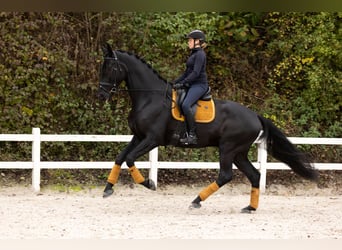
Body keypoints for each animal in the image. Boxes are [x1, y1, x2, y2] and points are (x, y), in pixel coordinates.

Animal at [98, 43, 318, 213]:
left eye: (110, 68)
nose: (102, 95)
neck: (149, 97)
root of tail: (255, 116)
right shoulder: (138, 136)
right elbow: (120, 157)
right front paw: (108, 189)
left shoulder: (152, 139)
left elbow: (129, 158)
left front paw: (149, 184)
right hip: (239, 153)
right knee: (255, 175)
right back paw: (250, 207)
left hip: (228, 148)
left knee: (226, 175)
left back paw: (196, 201)